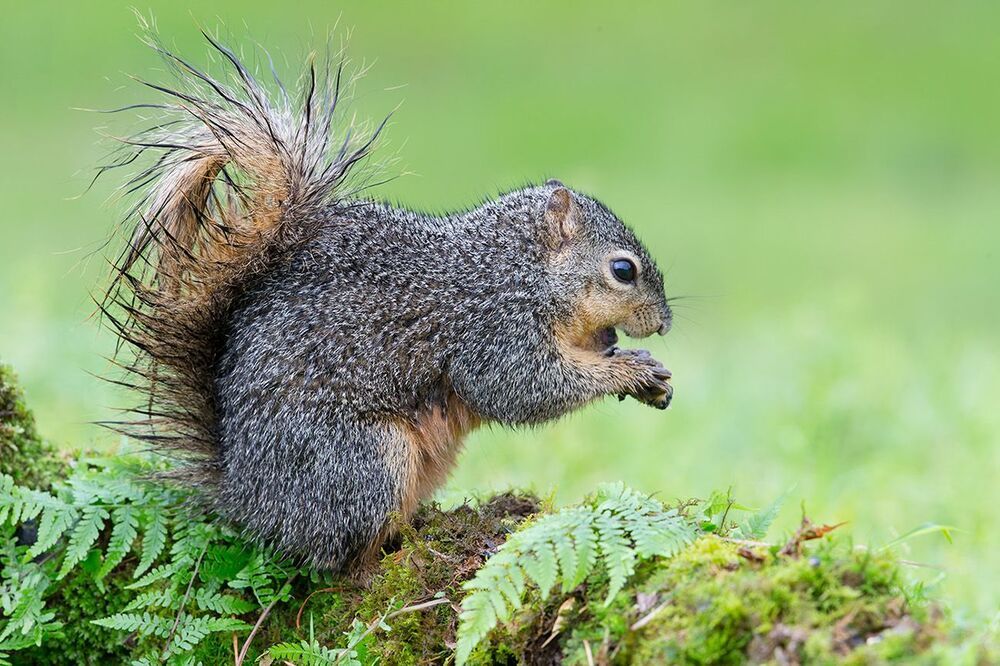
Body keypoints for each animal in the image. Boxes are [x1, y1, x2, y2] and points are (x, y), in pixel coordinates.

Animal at [100, 34, 674, 572]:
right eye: (623, 271)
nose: (664, 324)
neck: (520, 269)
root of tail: (247, 498)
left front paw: (638, 366)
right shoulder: (492, 329)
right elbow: (523, 389)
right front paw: (629, 371)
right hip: (363, 460)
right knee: (342, 558)